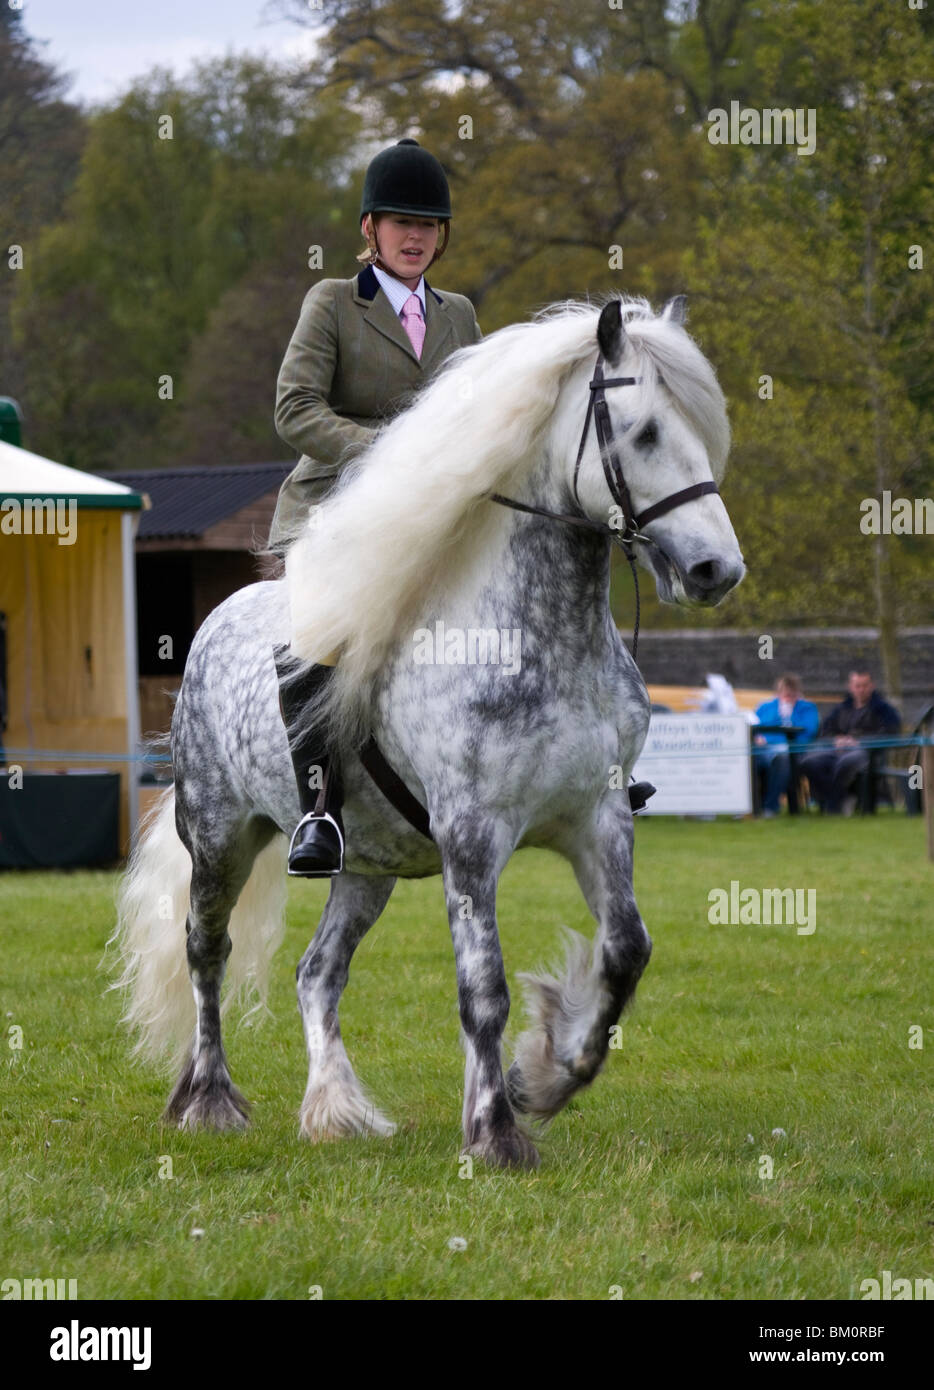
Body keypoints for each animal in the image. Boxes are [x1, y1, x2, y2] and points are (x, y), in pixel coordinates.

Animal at [113, 298, 744, 1167]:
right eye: (645, 431)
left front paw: (543, 1078)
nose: (718, 571)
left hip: (366, 866)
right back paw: (209, 1101)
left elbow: (625, 952)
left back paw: (334, 1109)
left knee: (317, 972)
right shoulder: (473, 835)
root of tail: (217, 619)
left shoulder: (598, 818)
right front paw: (497, 1134)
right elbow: (484, 988)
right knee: (207, 951)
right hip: (219, 836)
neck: (543, 638)